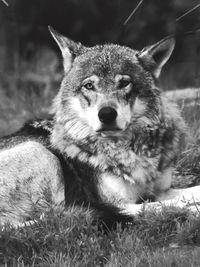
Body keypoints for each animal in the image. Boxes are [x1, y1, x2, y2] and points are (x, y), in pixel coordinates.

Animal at [0, 27, 200, 227]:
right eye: (89, 85)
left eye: (124, 83)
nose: (106, 114)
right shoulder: (115, 201)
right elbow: (156, 205)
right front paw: (189, 209)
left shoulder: (160, 190)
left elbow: (192, 190)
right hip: (41, 154)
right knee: (60, 215)